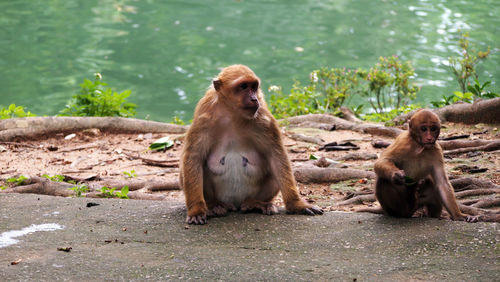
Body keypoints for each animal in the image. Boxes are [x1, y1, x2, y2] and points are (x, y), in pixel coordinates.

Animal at [180, 64, 324, 225]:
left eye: (254, 87)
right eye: (243, 86)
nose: (254, 98)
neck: (232, 115)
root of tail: (235, 204)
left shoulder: (263, 118)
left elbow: (276, 156)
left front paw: (296, 204)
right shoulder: (204, 117)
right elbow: (194, 157)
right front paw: (196, 210)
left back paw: (256, 203)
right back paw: (214, 205)